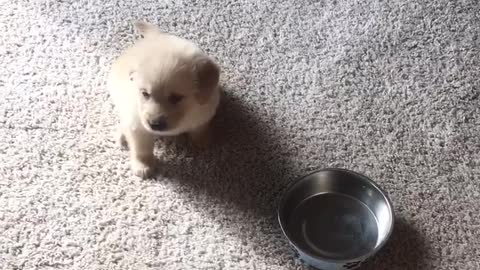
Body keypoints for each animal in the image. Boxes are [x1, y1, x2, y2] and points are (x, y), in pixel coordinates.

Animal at [108, 21, 220, 177]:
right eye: (145, 94)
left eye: (176, 97)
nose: (154, 124)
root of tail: (156, 36)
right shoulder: (138, 125)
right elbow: (141, 148)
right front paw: (143, 164)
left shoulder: (205, 111)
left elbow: (200, 128)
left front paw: (203, 139)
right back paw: (122, 134)